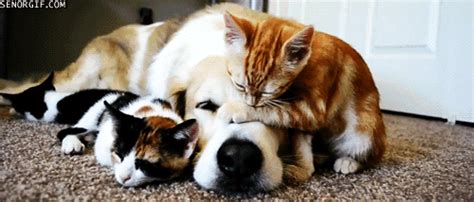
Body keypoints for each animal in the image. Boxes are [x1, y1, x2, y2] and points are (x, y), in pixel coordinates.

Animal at [0, 72, 198, 186]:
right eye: (119, 154)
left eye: (145, 164)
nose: (123, 177)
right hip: (93, 114)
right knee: (66, 131)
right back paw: (73, 143)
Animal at [218, 12, 386, 174]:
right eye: (240, 85)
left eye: (267, 92)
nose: (251, 102)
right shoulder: (304, 119)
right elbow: (300, 140)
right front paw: (304, 168)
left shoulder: (313, 110)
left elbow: (275, 110)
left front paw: (237, 108)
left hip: (365, 131)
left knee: (372, 156)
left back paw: (349, 161)